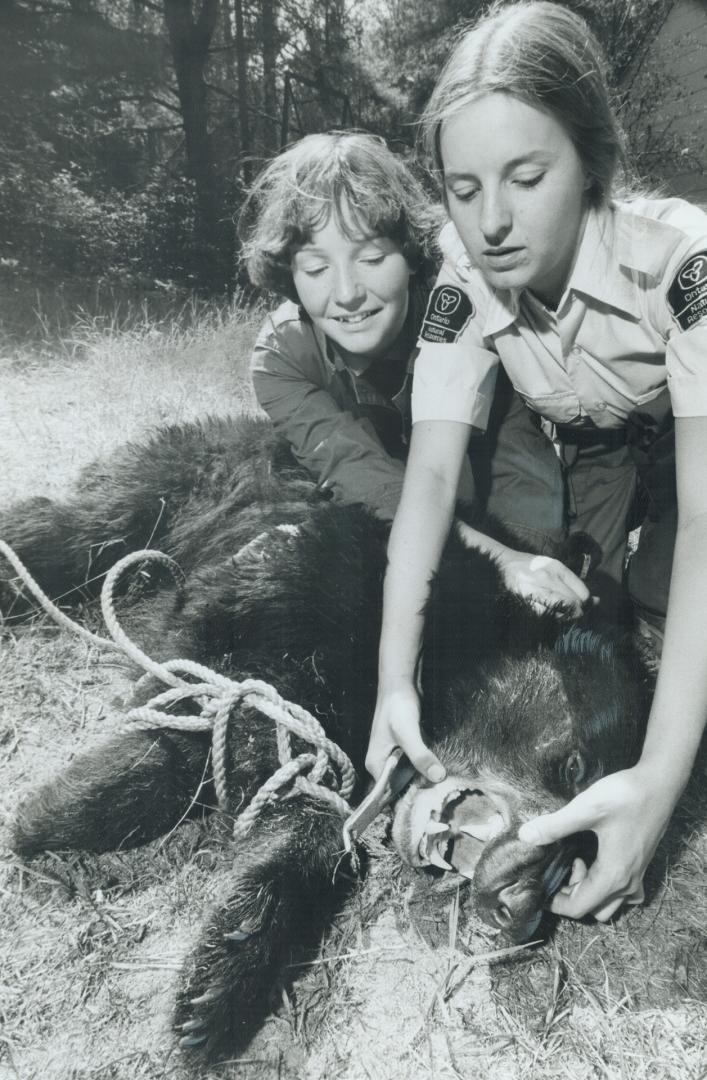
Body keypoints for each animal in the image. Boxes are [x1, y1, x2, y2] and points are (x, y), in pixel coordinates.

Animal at [0, 414, 651, 1062]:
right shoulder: (298, 575)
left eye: (577, 863)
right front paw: (65, 812)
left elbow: (315, 813)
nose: (521, 914)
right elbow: (204, 693)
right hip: (174, 485)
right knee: (81, 530)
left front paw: (224, 972)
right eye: (573, 767)